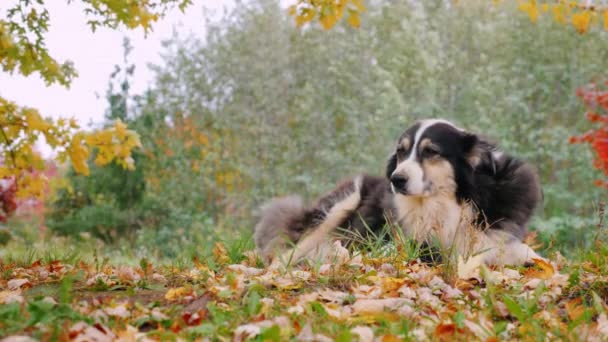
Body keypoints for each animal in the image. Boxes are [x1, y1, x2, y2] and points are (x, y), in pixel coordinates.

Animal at [254, 119, 544, 268]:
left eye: (431, 151)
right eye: (401, 151)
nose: (396, 179)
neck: (447, 202)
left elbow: (525, 252)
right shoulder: (408, 243)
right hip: (343, 201)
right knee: (288, 252)